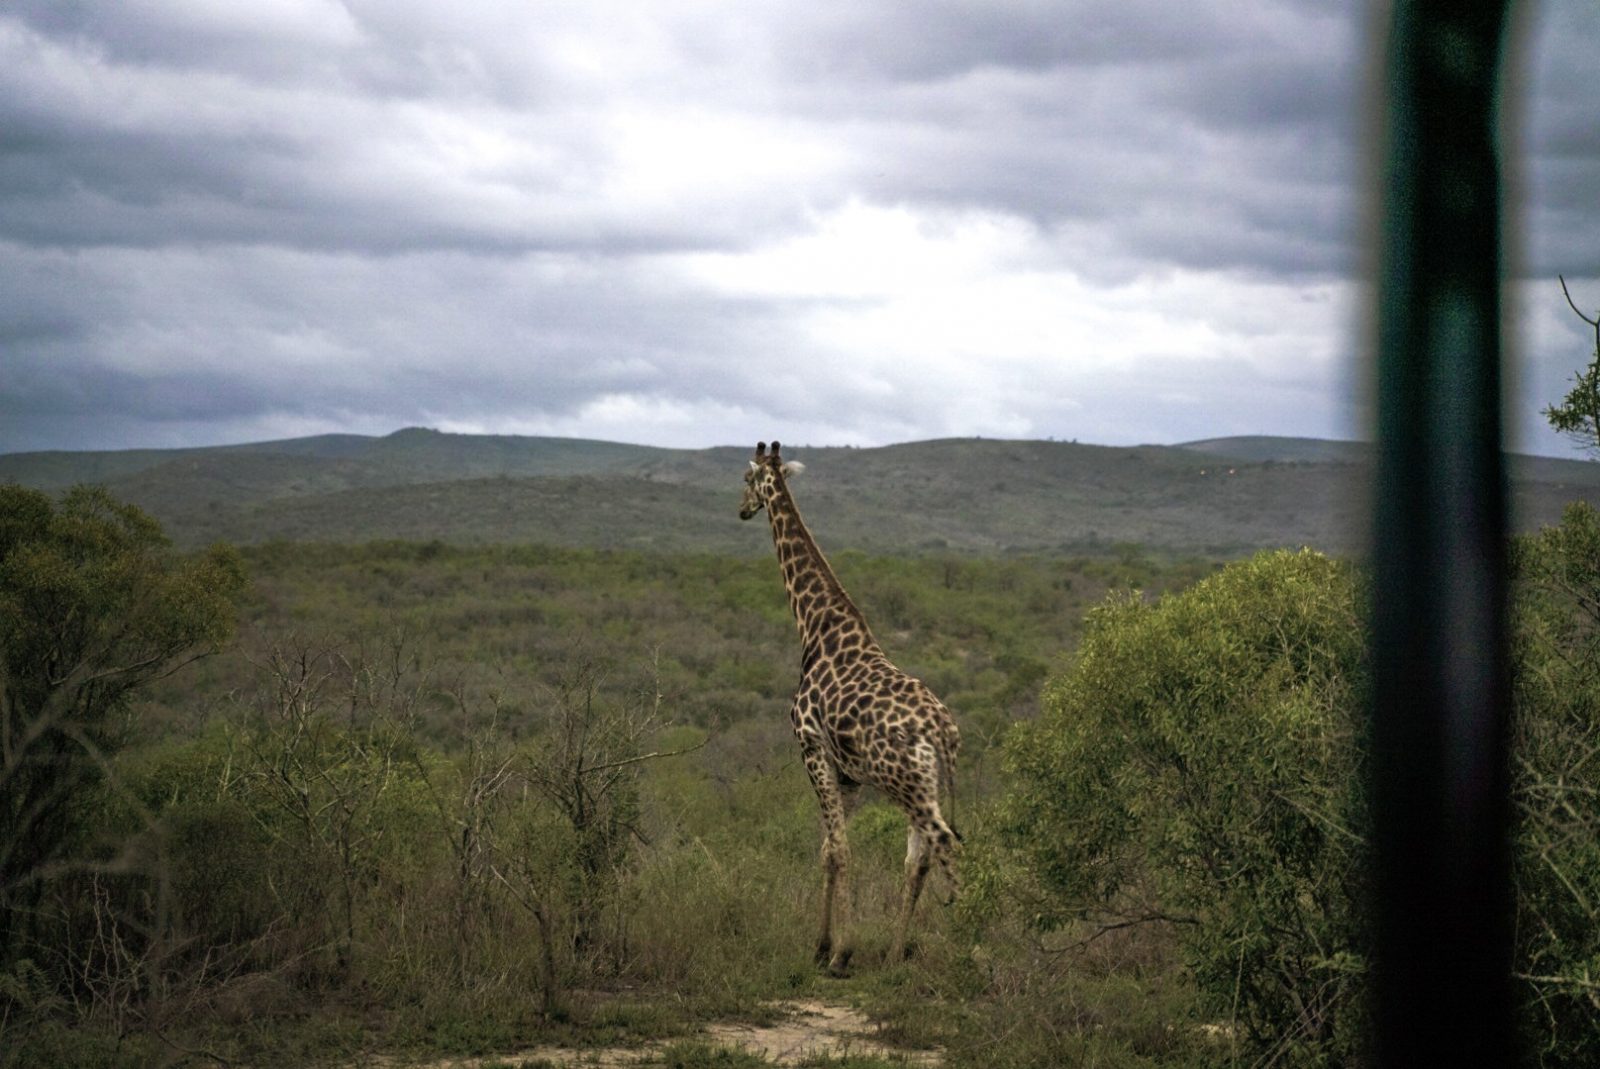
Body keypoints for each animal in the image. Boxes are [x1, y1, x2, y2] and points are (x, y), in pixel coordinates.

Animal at [739, 438, 960, 972]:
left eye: (745, 478)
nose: (741, 510)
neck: (815, 627)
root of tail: (943, 732)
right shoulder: (850, 775)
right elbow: (828, 849)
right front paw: (822, 946)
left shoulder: (810, 746)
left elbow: (838, 849)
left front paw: (840, 952)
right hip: (921, 784)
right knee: (920, 857)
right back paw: (896, 955)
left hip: (905, 784)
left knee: (945, 845)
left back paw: (968, 938)